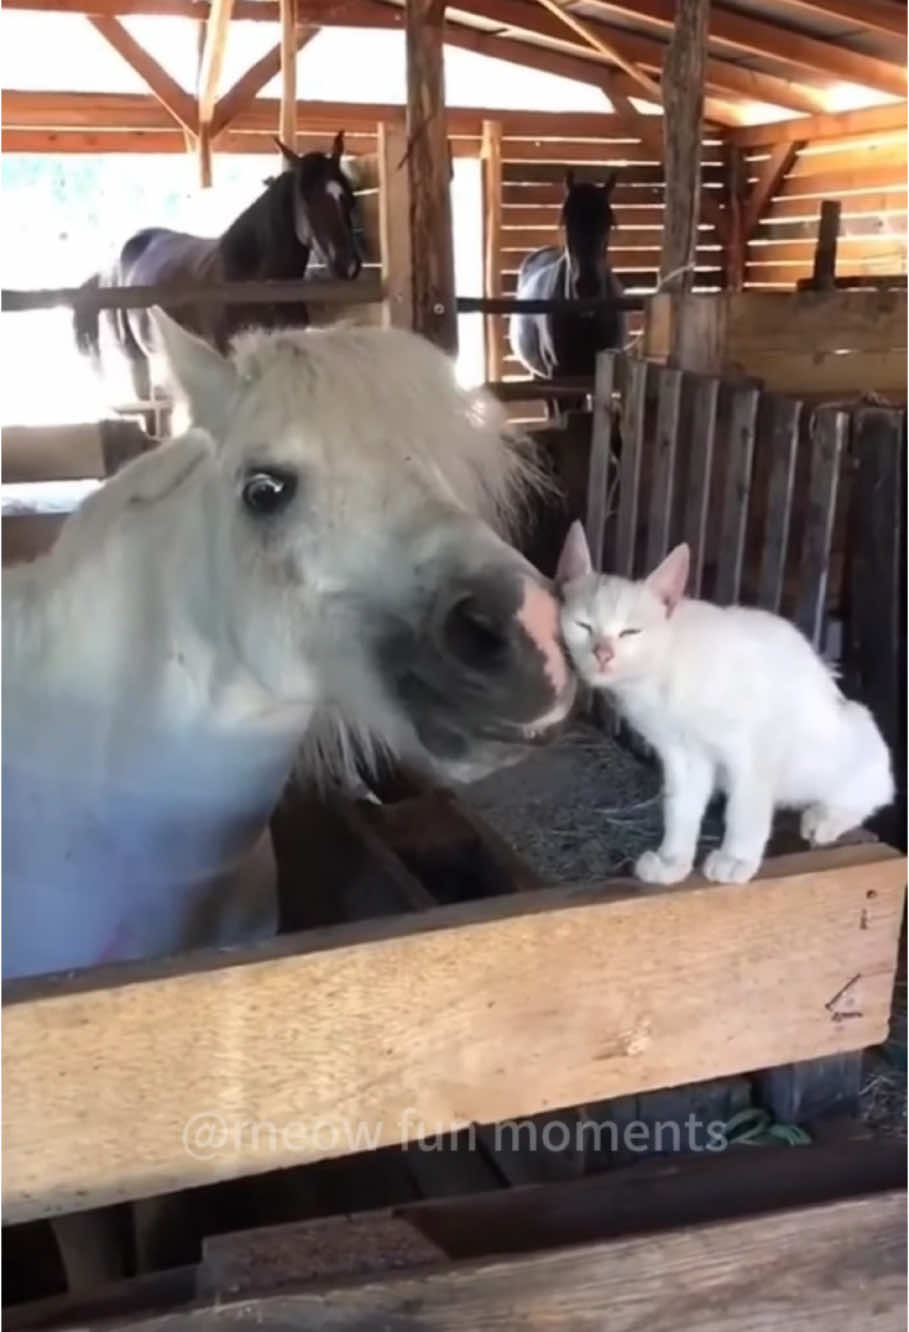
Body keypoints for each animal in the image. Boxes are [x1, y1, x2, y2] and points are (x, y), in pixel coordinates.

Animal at [557, 519, 890, 884]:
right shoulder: (683, 754)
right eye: (583, 625)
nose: (603, 653)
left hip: (844, 739)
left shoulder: (753, 748)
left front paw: (736, 858)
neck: (662, 673)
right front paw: (672, 861)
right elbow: (681, 807)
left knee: (876, 785)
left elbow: (745, 807)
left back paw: (827, 817)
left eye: (630, 632)